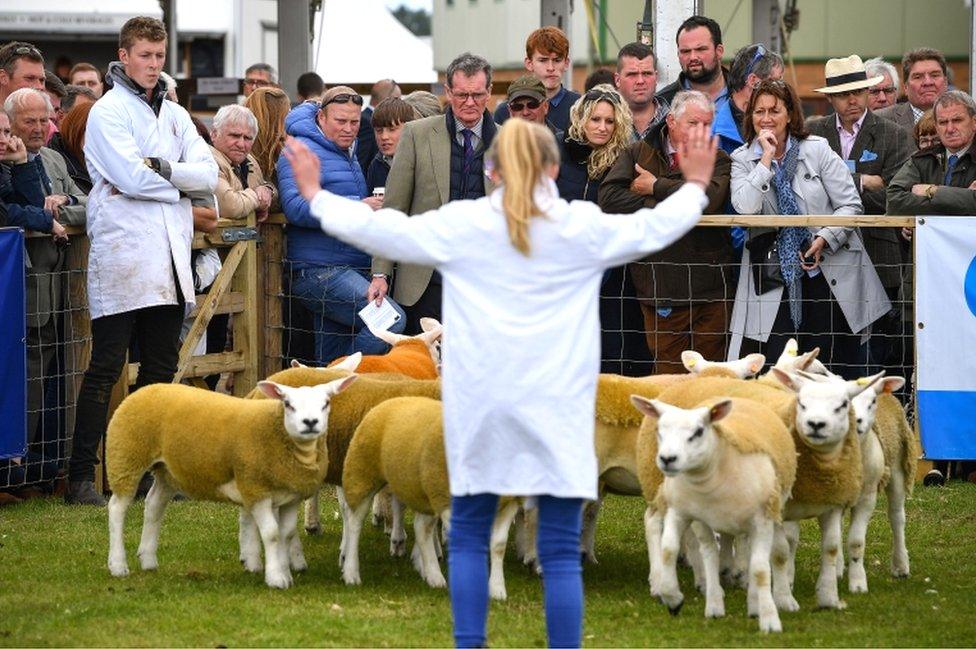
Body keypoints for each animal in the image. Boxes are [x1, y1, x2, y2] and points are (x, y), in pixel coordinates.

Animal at [106, 378, 354, 588]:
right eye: (288, 404)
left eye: (326, 403)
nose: (310, 422)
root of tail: (146, 389)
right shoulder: (256, 490)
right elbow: (272, 533)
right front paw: (276, 578)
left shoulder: (291, 496)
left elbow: (287, 533)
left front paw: (284, 570)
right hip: (125, 457)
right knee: (117, 508)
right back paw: (118, 565)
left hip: (168, 472)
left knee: (154, 506)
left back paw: (148, 559)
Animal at [628, 394, 796, 632]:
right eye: (659, 430)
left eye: (699, 431)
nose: (668, 459)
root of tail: (737, 397)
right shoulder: (680, 511)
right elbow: (669, 550)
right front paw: (672, 598)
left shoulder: (761, 521)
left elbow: (760, 569)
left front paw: (769, 619)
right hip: (704, 522)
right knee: (709, 553)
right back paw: (715, 605)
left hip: (771, 512)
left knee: (765, 555)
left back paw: (757, 603)